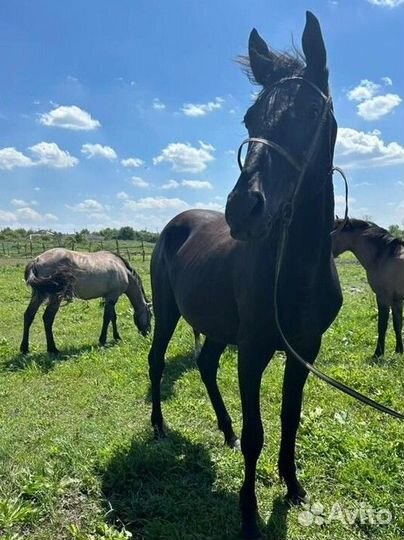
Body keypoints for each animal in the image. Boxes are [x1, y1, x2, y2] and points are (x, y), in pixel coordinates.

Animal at [20, 249, 152, 354]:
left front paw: (116, 337)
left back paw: (24, 348)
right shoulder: (112, 298)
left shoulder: (108, 298)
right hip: (55, 298)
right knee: (47, 318)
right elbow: (107, 318)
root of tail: (36, 260)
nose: (148, 333)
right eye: (151, 315)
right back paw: (52, 349)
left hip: (38, 295)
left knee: (28, 316)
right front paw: (103, 339)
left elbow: (113, 317)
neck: (122, 269)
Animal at [148, 12, 340, 540]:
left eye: (308, 112)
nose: (243, 209)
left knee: (205, 364)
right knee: (156, 361)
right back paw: (159, 426)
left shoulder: (305, 349)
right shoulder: (253, 350)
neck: (294, 271)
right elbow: (259, 433)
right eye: (250, 119)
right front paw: (249, 514)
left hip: (216, 326)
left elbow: (290, 419)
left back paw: (225, 428)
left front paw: (293, 488)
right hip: (168, 312)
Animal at [332, 217, 402, 356]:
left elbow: (382, 325)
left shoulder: (383, 297)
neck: (383, 255)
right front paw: (399, 351)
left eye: (331, 235)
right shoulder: (396, 300)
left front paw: (378, 353)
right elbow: (397, 325)